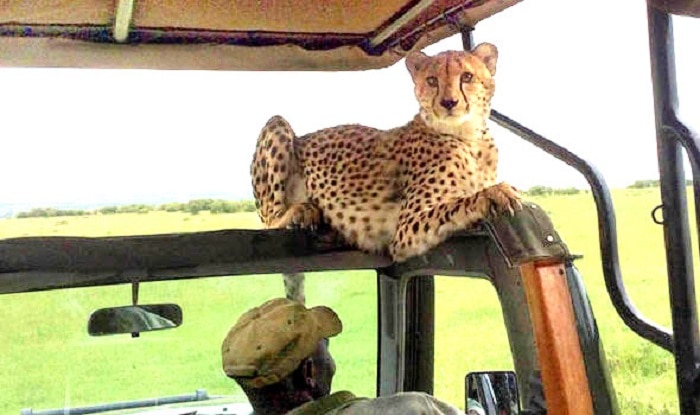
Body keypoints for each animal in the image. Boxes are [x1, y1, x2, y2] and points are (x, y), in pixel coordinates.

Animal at [250, 43, 521, 304]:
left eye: (467, 76)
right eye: (432, 81)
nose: (449, 102)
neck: (469, 138)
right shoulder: (405, 229)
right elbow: (458, 203)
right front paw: (494, 193)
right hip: (277, 126)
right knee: (271, 221)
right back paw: (302, 211)